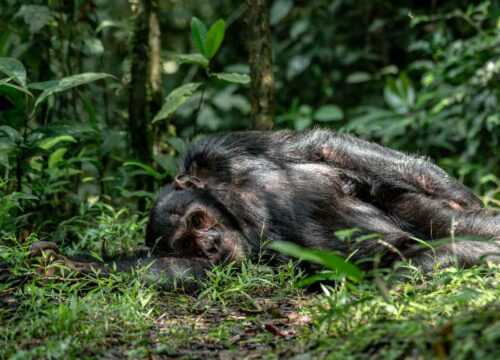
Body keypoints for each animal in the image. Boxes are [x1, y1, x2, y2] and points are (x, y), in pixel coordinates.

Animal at [146, 128, 500, 274]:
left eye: (197, 219)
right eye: (186, 245)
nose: (209, 245)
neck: (228, 204)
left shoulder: (216, 150)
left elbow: (323, 146)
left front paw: (464, 198)